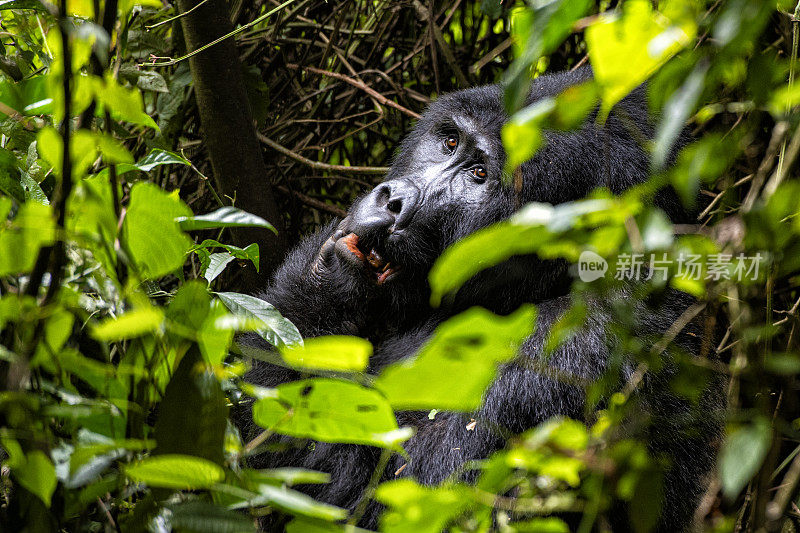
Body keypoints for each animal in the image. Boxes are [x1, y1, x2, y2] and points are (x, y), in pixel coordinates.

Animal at [239, 67, 724, 532]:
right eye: (449, 141)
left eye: (479, 175)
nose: (394, 200)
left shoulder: (580, 350)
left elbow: (404, 498)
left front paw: (334, 287)